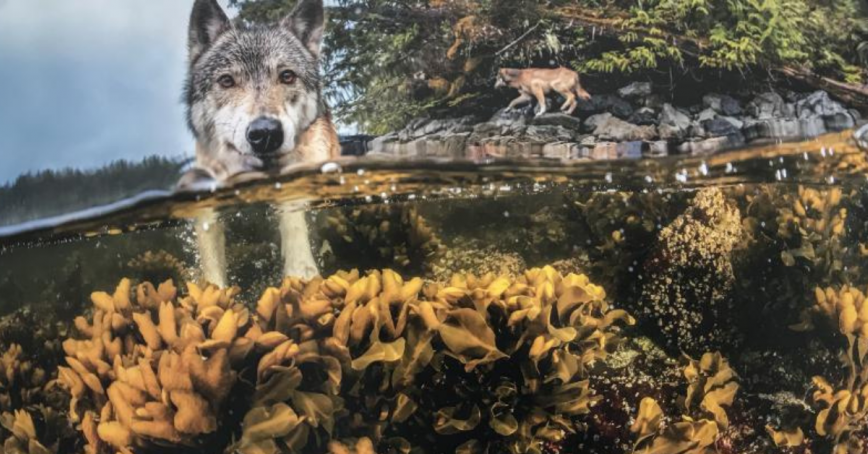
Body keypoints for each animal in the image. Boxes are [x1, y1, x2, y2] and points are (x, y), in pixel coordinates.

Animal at [181, 0, 341, 286]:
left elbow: (293, 218)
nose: (265, 132)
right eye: (226, 81)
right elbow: (211, 263)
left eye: (287, 76)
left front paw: (301, 273)